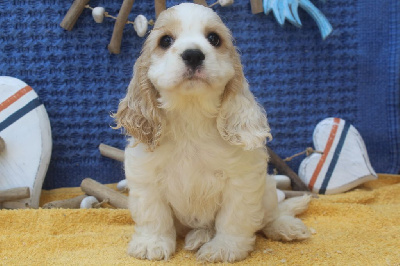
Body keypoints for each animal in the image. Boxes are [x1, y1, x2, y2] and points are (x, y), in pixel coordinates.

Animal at [114, 2, 310, 262]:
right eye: (165, 40)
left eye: (214, 38)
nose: (193, 54)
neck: (191, 118)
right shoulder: (146, 179)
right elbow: (153, 215)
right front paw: (151, 243)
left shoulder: (241, 181)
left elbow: (233, 219)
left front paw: (224, 248)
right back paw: (199, 235)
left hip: (267, 190)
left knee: (270, 215)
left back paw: (284, 226)